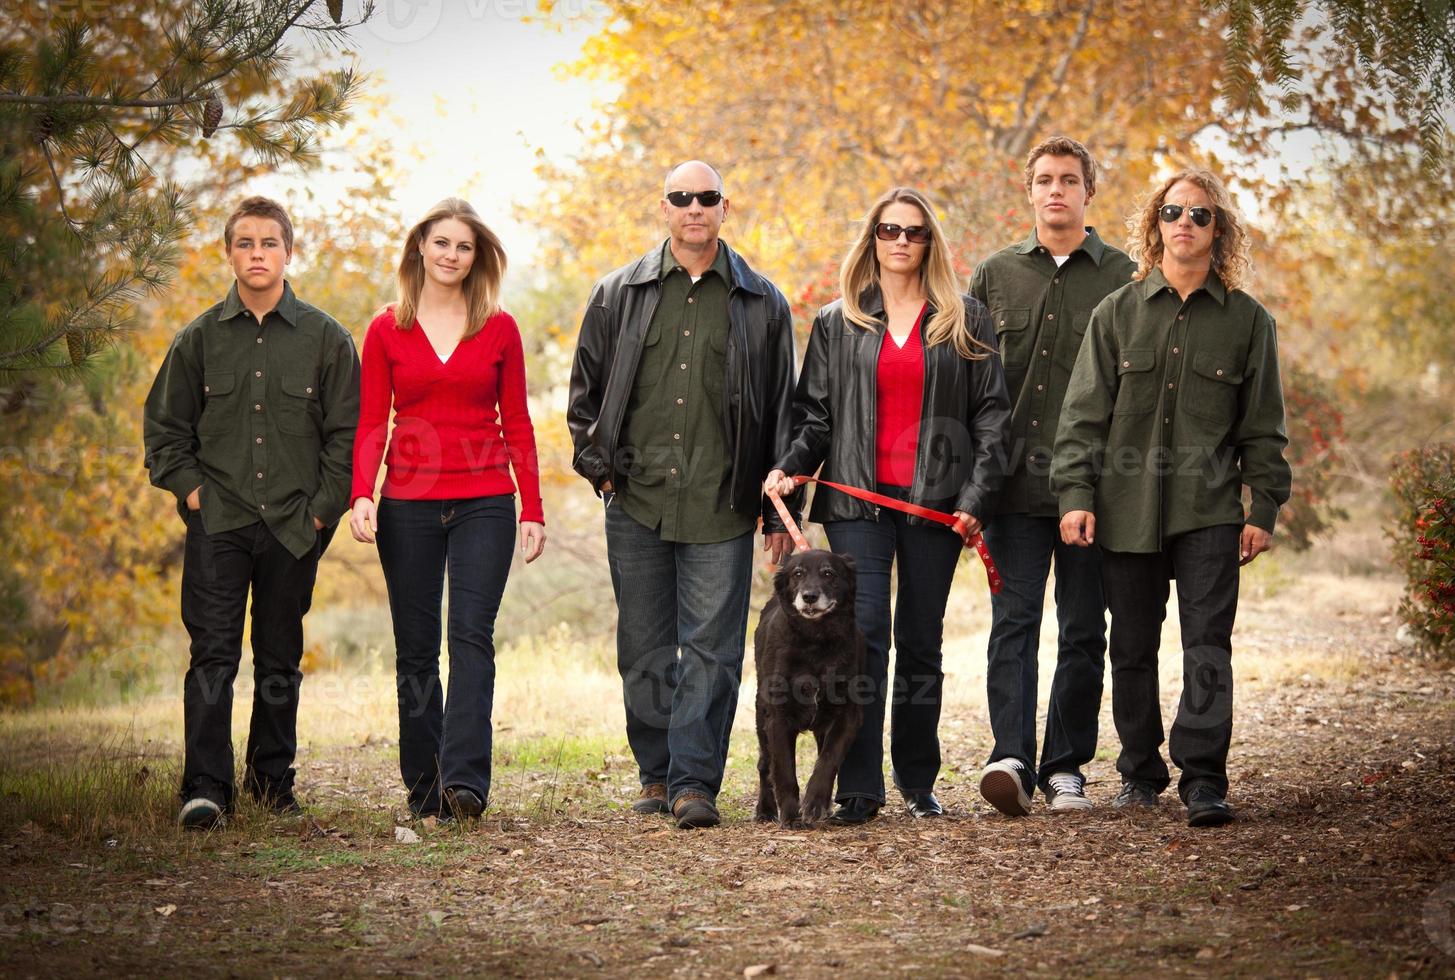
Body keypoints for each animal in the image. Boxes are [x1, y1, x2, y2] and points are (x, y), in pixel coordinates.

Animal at [750, 546, 861, 820]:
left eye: (828, 573)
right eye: (797, 574)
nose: (809, 597)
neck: (815, 641)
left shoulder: (846, 714)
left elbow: (827, 760)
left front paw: (815, 803)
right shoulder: (777, 718)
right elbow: (784, 770)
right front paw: (791, 815)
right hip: (760, 716)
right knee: (764, 764)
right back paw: (765, 809)